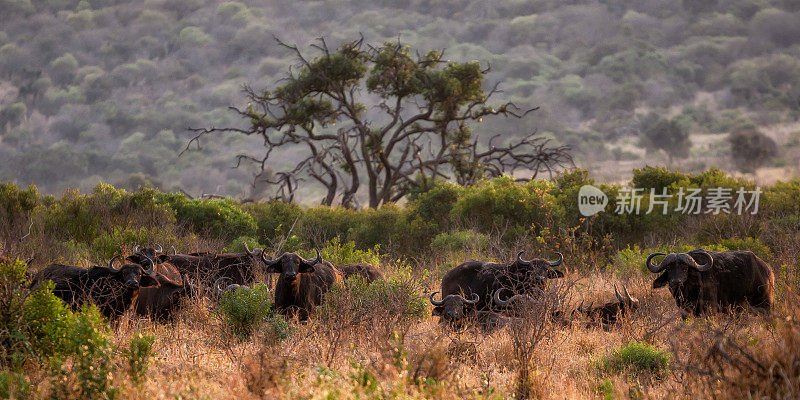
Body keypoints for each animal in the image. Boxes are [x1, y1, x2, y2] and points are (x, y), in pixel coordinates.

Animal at [644, 250, 776, 316]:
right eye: (669, 268)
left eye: (684, 268)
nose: (676, 281)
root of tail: (767, 269)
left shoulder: (710, 308)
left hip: (765, 303)